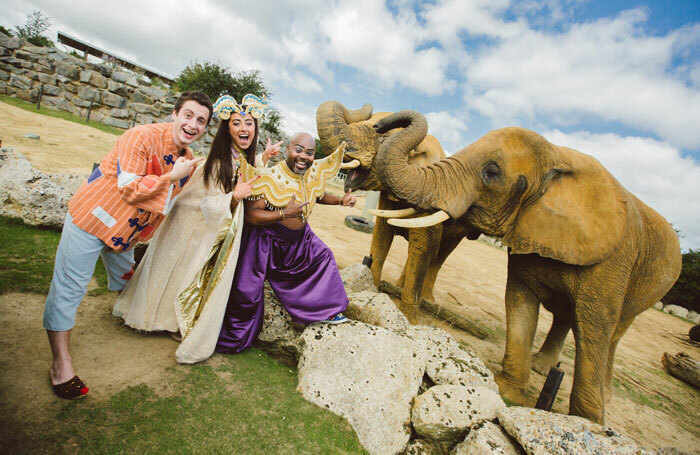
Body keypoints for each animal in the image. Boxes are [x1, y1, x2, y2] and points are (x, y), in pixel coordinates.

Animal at [318, 100, 478, 322]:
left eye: (383, 139)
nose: (380, 123)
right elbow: (381, 237)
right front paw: (369, 289)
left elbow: (422, 249)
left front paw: (409, 319)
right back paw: (396, 285)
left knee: (439, 255)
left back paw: (428, 300)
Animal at [372, 109, 684, 424]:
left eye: (492, 172)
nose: (380, 124)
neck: (558, 156)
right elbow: (520, 301)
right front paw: (508, 392)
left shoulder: (613, 261)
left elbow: (596, 328)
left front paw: (588, 423)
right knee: (565, 317)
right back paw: (540, 367)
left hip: (648, 289)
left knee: (613, 333)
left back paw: (600, 394)